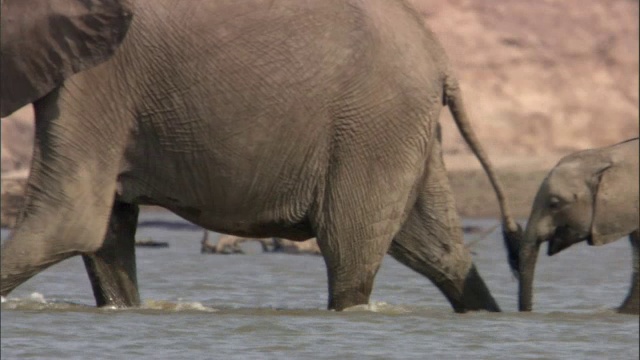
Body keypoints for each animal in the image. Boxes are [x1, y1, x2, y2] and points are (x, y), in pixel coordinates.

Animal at [1, 0, 520, 310]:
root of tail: (441, 56)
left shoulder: (98, 78)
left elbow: (68, 222)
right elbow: (105, 231)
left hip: (374, 126)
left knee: (349, 253)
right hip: (402, 132)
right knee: (439, 252)